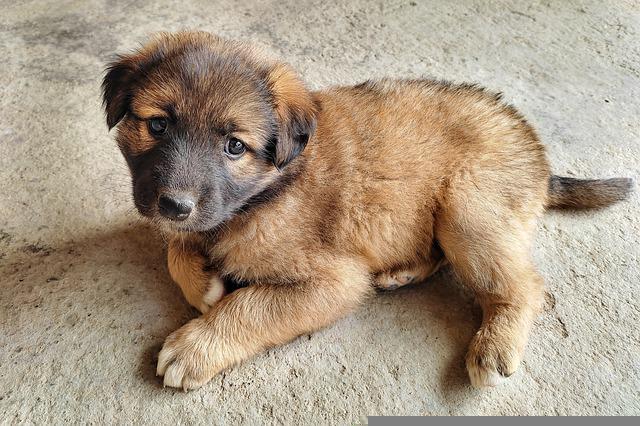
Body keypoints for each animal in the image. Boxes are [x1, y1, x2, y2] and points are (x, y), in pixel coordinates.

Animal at [102, 30, 632, 390]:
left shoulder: (333, 281)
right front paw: (204, 283)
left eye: (234, 146)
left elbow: (250, 306)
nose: (174, 204)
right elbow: (177, 248)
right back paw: (404, 271)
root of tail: (536, 152)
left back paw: (495, 344)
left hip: (469, 206)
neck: (273, 187)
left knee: (523, 284)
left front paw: (196, 346)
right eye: (157, 125)